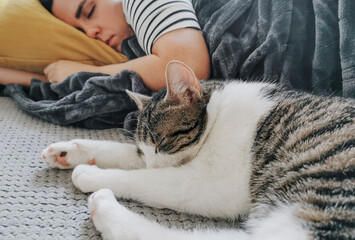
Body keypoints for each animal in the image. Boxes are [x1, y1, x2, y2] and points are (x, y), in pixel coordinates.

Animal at [42, 60, 355, 240]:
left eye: (162, 142)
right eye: (145, 148)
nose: (154, 164)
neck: (217, 114)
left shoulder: (211, 183)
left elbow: (145, 179)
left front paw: (91, 174)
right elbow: (123, 155)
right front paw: (68, 151)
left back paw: (105, 206)